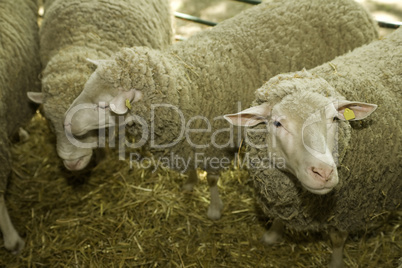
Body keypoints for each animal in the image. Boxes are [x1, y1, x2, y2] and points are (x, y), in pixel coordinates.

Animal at [64, 0, 378, 220]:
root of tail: (354, 7)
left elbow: (213, 179)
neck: (187, 84)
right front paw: (190, 184)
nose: (68, 124)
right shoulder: (190, 143)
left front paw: (214, 208)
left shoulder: (217, 143)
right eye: (86, 87)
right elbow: (192, 167)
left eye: (103, 104)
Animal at [225, 28, 400, 266]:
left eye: (335, 119)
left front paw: (336, 263)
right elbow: (280, 216)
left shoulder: (346, 210)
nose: (323, 172)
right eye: (277, 123)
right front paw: (271, 236)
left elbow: (337, 238)